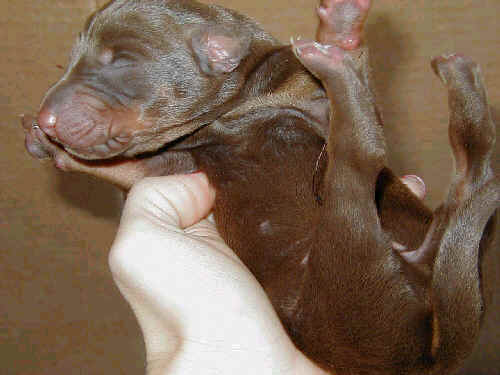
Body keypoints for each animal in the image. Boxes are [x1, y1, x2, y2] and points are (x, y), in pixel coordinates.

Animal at [20, 0, 496, 374]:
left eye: (120, 61)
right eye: (71, 61)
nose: (46, 118)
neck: (238, 107)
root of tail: (429, 356)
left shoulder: (311, 105)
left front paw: (340, 37)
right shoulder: (175, 164)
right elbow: (126, 167)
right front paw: (47, 145)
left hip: (346, 281)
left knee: (363, 157)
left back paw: (347, 55)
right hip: (353, 275)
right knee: (464, 178)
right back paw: (458, 77)